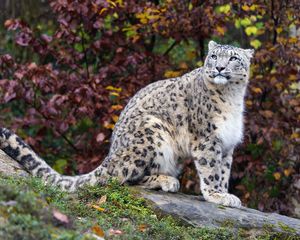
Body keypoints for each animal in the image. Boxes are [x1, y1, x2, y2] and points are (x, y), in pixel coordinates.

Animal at [0, 40, 253, 207]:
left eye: (233, 58)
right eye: (214, 56)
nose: (219, 67)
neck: (232, 97)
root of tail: (110, 155)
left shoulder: (227, 143)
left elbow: (223, 171)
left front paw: (225, 193)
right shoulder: (206, 139)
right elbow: (211, 170)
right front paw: (217, 195)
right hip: (151, 132)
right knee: (123, 178)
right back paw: (167, 181)